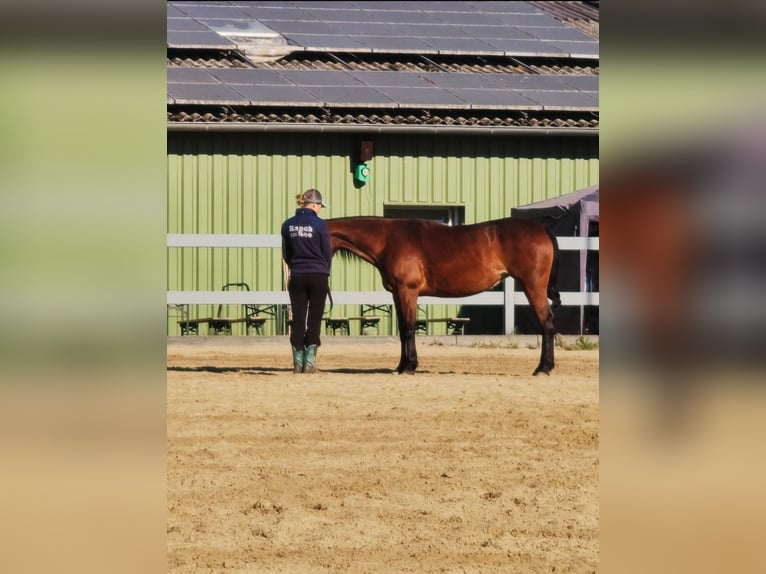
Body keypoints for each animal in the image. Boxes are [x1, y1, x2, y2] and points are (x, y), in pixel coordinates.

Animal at [328, 217, 560, 375]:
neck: (389, 240)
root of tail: (542, 229)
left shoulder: (407, 291)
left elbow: (409, 328)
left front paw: (409, 366)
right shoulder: (398, 293)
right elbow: (403, 329)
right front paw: (402, 365)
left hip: (533, 286)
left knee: (547, 323)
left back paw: (543, 368)